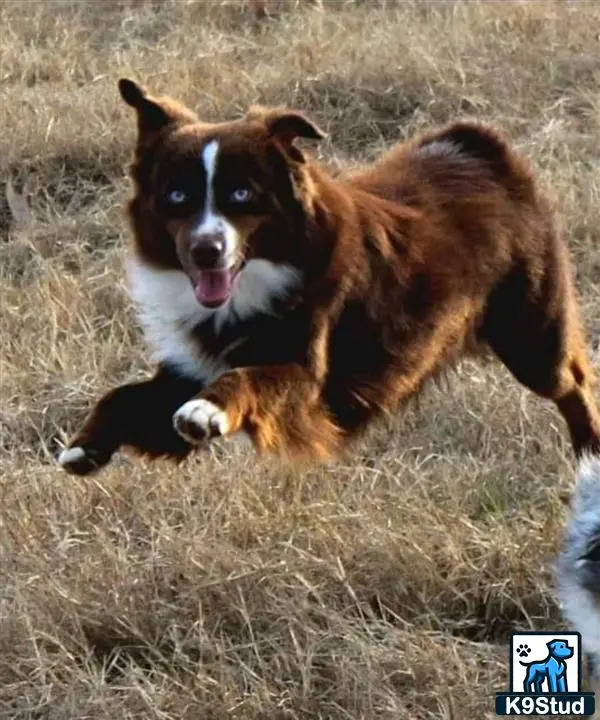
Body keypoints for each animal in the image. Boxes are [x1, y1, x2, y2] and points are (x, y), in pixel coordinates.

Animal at [57, 79, 600, 476]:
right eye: (176, 196)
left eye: (241, 193)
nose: (205, 251)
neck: (255, 283)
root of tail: (478, 146)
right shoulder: (190, 366)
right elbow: (125, 395)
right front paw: (86, 446)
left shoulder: (304, 378)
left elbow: (248, 377)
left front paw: (205, 413)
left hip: (532, 334)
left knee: (572, 383)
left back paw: (588, 457)